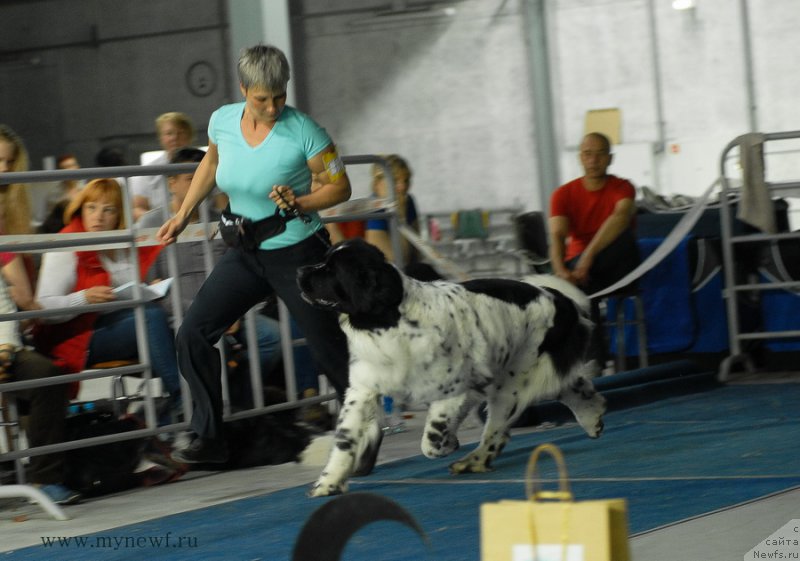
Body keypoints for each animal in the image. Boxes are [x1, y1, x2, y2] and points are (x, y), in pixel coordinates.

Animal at [296, 238, 604, 496]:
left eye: (331, 269)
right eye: (323, 260)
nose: (300, 271)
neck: (389, 322)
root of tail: (556, 297)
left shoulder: (453, 389)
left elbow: (430, 440)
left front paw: (447, 444)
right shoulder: (362, 390)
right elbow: (344, 441)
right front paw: (328, 483)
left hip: (514, 383)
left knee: (496, 431)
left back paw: (473, 461)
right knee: (574, 387)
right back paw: (593, 419)